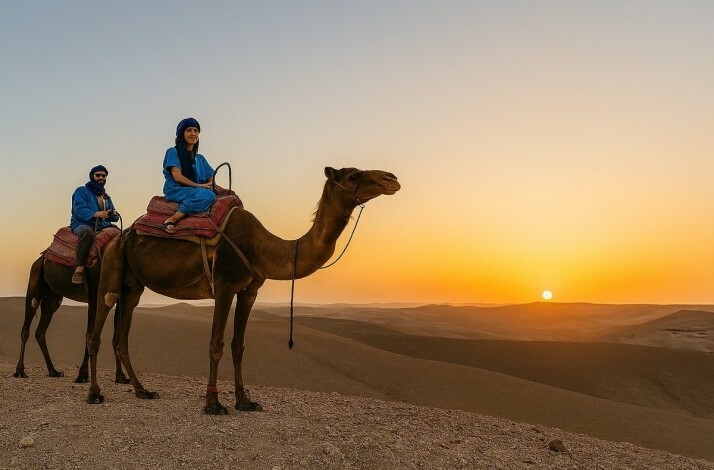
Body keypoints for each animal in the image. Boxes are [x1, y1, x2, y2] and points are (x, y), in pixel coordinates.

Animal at [14, 255, 129, 384]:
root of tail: (40, 259)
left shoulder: (118, 297)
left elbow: (116, 337)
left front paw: (120, 376)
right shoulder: (94, 295)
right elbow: (90, 334)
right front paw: (82, 375)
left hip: (52, 297)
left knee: (40, 331)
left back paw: (54, 371)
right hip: (34, 280)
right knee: (26, 328)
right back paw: (20, 371)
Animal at [87, 166, 400, 414]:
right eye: (353, 174)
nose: (392, 178)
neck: (262, 246)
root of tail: (121, 235)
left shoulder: (249, 291)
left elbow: (239, 346)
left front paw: (245, 401)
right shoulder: (225, 286)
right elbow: (216, 345)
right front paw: (213, 404)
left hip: (133, 285)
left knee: (121, 337)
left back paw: (143, 390)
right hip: (111, 270)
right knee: (97, 331)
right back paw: (94, 393)